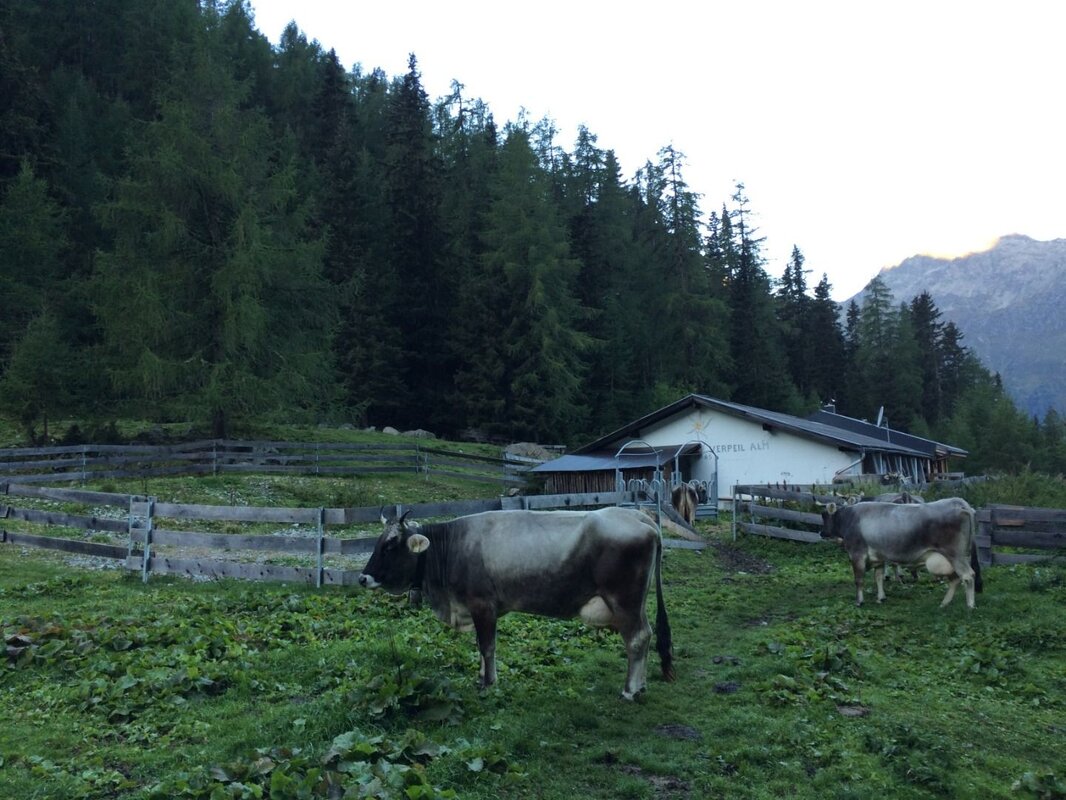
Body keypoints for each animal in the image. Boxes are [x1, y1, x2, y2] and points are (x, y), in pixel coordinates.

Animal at [357, 507, 674, 700]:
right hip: (636, 603)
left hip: (624, 601)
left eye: (390, 545)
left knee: (637, 638)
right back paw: (641, 685)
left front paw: (488, 683)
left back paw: (630, 690)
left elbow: (487, 646)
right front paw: (482, 677)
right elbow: (481, 646)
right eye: (377, 542)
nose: (362, 578)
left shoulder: (482, 605)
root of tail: (637, 516)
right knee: (646, 636)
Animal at [819, 497, 983, 608]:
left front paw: (859, 601)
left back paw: (970, 606)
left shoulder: (856, 554)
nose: (821, 533)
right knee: (955, 579)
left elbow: (859, 580)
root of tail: (958, 501)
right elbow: (878, 577)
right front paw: (881, 598)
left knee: (968, 576)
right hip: (956, 557)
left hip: (955, 555)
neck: (850, 516)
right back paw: (944, 603)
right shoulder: (878, 557)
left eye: (824, 515)